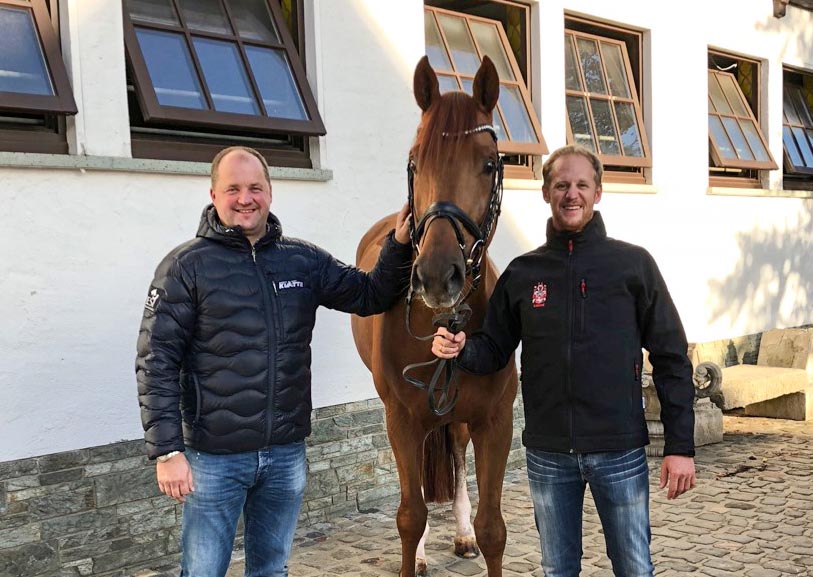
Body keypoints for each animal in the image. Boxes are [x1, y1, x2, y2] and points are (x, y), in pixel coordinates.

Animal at [348, 55, 512, 576]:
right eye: (415, 162)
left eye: (488, 164)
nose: (438, 276)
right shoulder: (401, 419)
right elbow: (410, 515)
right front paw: (413, 552)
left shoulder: (495, 421)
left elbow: (493, 528)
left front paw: (473, 533)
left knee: (455, 453)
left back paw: (460, 534)